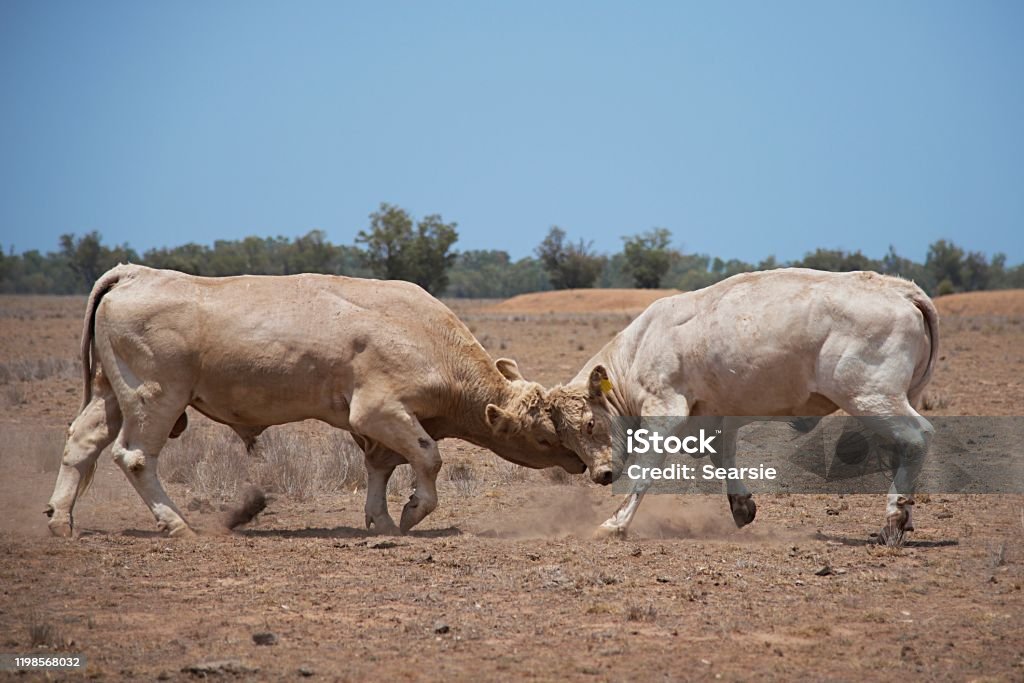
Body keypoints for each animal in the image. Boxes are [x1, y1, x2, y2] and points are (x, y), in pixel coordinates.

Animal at [45, 264, 584, 538]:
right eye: (543, 436)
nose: (580, 464)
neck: (427, 338)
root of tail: (134, 273)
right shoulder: (380, 410)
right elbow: (429, 458)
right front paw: (412, 513)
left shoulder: (377, 427)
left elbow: (380, 470)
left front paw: (381, 521)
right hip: (154, 396)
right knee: (135, 456)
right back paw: (176, 524)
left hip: (111, 393)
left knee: (81, 443)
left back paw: (60, 519)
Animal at [536, 268, 938, 542]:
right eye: (565, 438)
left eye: (590, 423)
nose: (601, 475)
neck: (639, 349)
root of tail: (899, 289)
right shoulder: (717, 419)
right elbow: (724, 460)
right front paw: (742, 506)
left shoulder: (664, 412)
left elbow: (643, 471)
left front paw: (614, 524)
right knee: (900, 449)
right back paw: (904, 517)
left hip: (872, 396)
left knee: (918, 437)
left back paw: (894, 517)